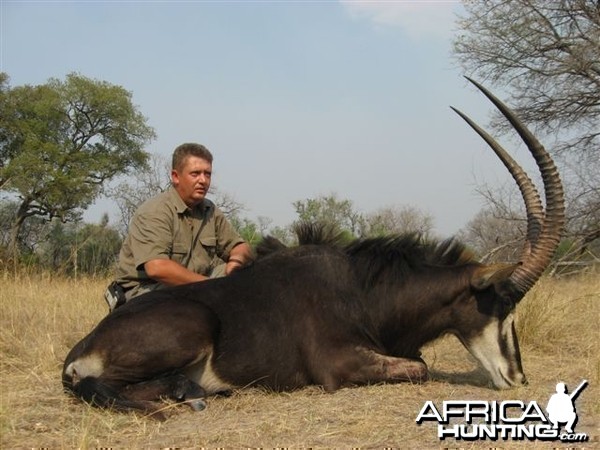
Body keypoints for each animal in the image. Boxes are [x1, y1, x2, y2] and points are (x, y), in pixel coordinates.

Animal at [63, 77, 564, 418]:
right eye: (501, 307)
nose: (518, 377)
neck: (364, 291)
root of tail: (80, 350)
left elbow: (418, 359)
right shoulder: (338, 365)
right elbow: (419, 366)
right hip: (190, 328)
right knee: (110, 387)